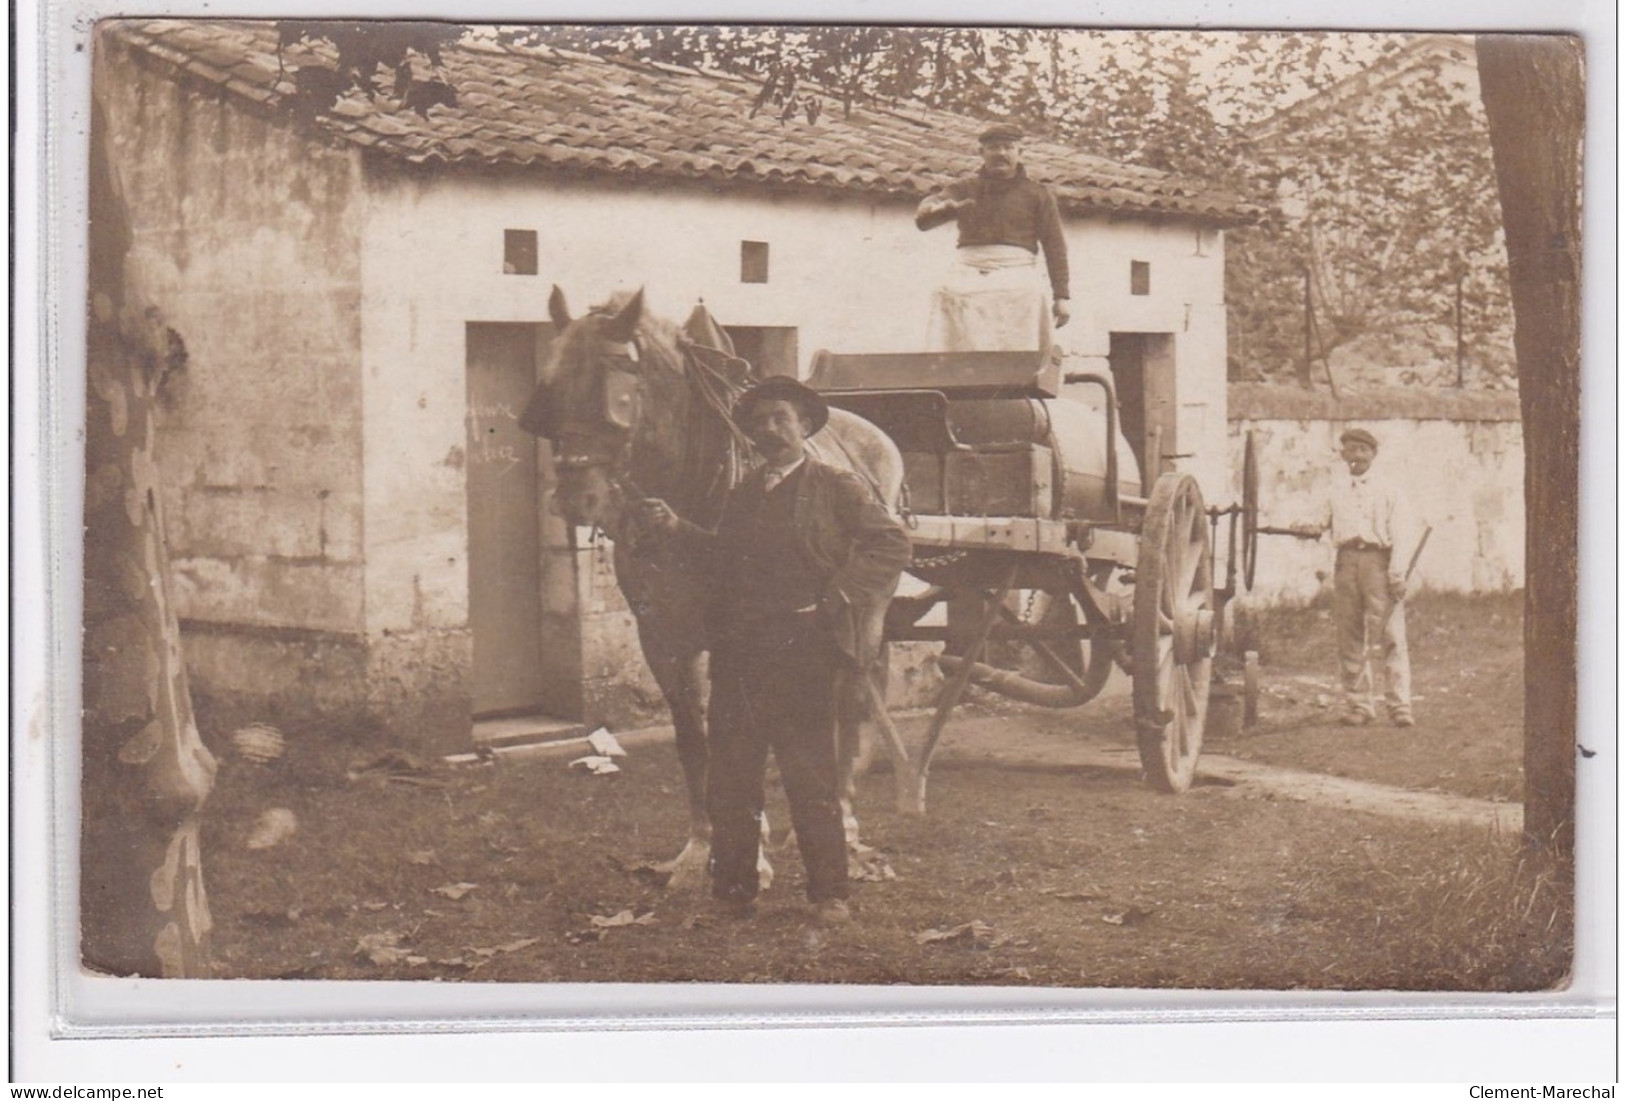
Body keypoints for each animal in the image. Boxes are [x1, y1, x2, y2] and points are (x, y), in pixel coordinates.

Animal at [520, 284, 903, 889]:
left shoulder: (739, 636)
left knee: (849, 702)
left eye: (615, 381)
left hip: (862, 614)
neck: (693, 489)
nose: (575, 498)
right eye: (554, 384)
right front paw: (702, 847)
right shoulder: (661, 637)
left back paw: (842, 818)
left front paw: (753, 850)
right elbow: (693, 739)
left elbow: (740, 734)